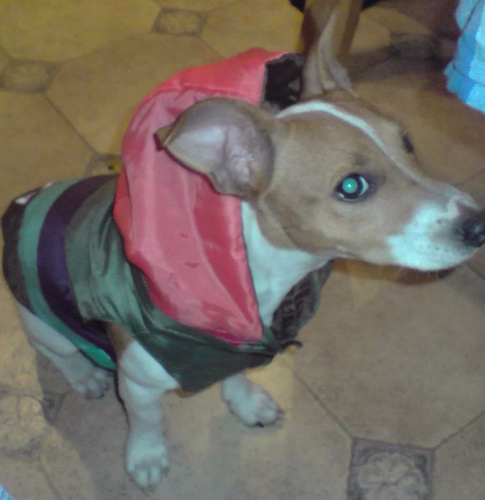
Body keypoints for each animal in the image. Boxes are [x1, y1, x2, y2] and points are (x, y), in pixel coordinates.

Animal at [2, 0, 485, 490]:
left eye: (406, 141)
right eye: (352, 186)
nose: (478, 226)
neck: (258, 271)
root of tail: (22, 202)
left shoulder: (240, 345)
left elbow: (234, 376)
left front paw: (245, 402)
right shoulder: (138, 382)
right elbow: (147, 421)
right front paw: (147, 455)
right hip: (41, 321)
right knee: (57, 351)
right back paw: (84, 375)